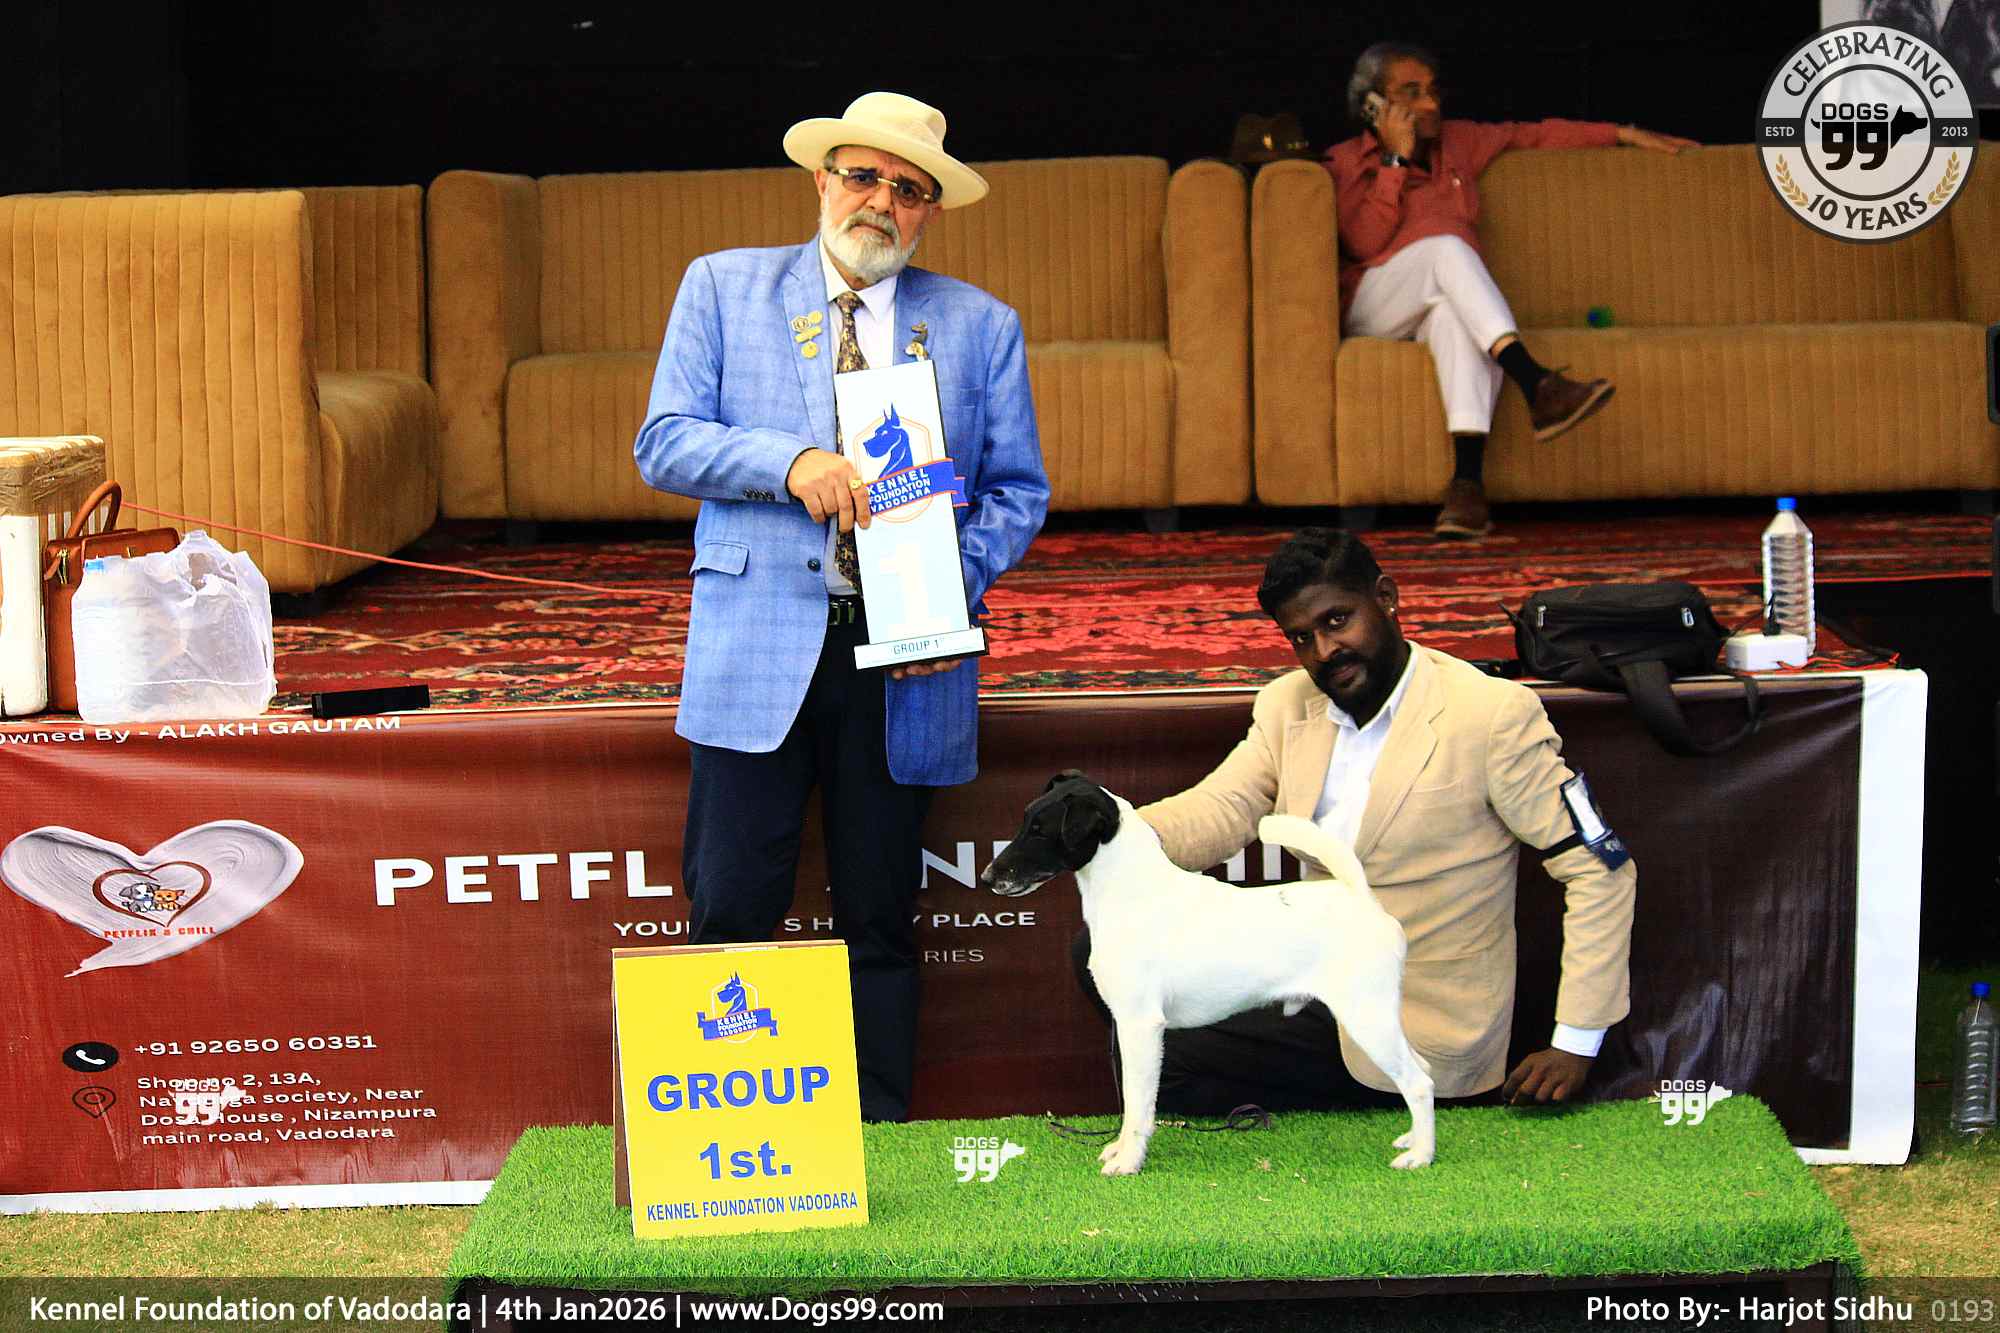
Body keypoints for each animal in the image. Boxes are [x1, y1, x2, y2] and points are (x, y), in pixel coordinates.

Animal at [979, 771, 1435, 1176]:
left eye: (1041, 831)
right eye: (1024, 821)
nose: (986, 877)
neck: (1130, 892)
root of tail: (1362, 898)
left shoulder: (1140, 1025)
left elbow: (1138, 1103)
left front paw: (1128, 1161)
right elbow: (1132, 1105)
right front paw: (1119, 1149)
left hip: (1367, 1018)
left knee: (1418, 1083)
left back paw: (1420, 1156)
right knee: (1424, 1071)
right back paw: (1413, 1140)